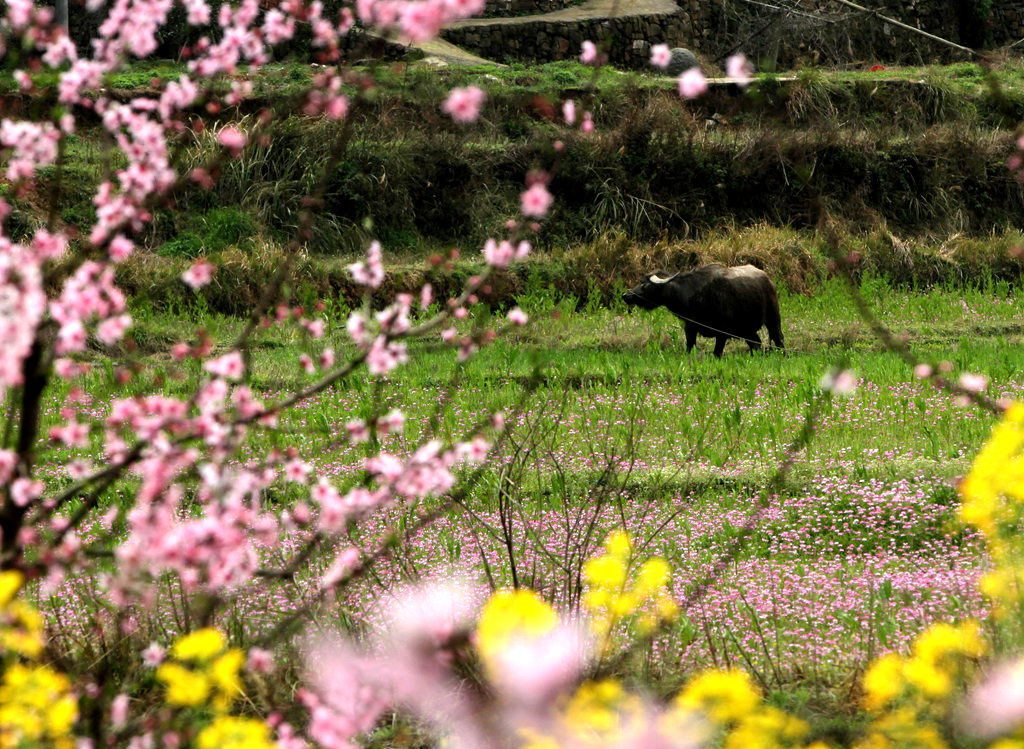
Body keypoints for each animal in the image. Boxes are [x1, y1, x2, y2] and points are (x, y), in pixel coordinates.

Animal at [622, 264, 782, 356]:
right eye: (640, 281)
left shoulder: (722, 332)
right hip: (747, 329)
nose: (626, 295)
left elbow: (717, 353)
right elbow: (689, 347)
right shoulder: (690, 328)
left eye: (645, 284)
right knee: (756, 344)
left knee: (778, 338)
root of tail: (768, 280)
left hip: (773, 317)